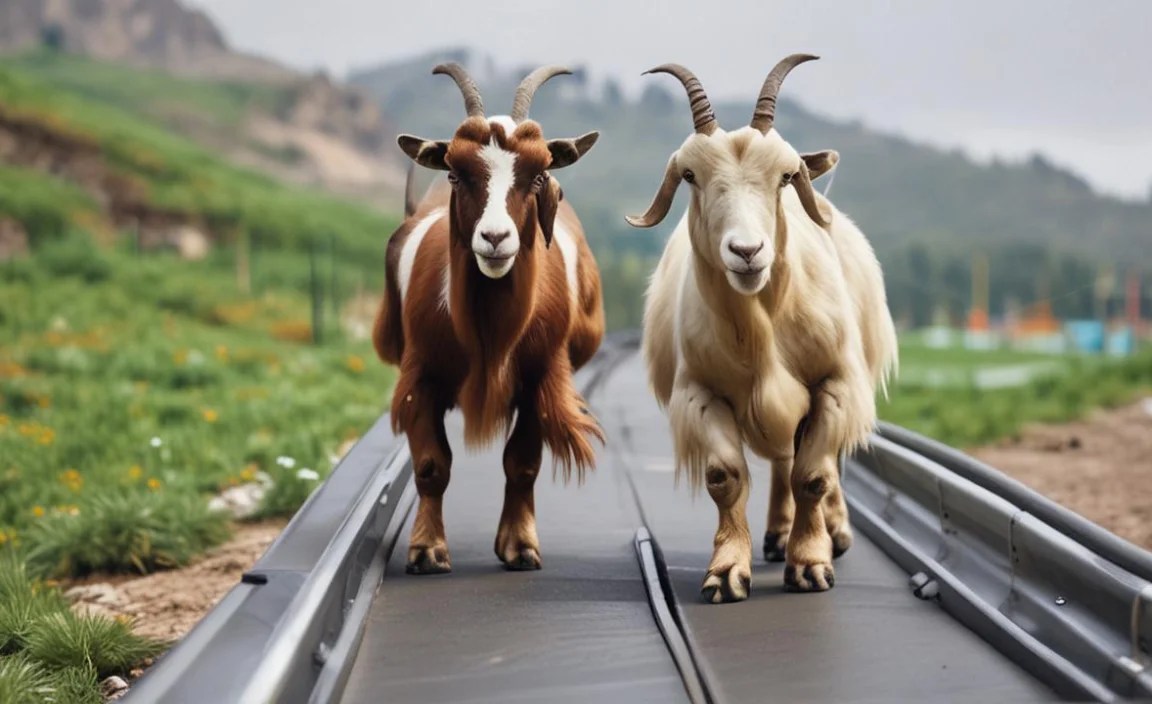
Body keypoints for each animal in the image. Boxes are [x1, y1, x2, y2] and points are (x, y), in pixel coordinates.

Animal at [374, 63, 605, 574]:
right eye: (456, 174)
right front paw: (426, 550)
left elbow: (522, 463)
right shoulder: (421, 377)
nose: (495, 239)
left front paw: (519, 546)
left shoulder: (541, 377)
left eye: (538, 176)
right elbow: (431, 465)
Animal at [628, 56, 898, 600]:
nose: (747, 251)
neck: (764, 326)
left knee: (817, 463)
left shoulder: (836, 385)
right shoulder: (700, 393)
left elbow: (814, 475)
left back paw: (834, 532)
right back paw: (775, 534)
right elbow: (725, 477)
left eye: (787, 176)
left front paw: (811, 565)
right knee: (781, 459)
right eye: (690, 175)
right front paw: (727, 570)